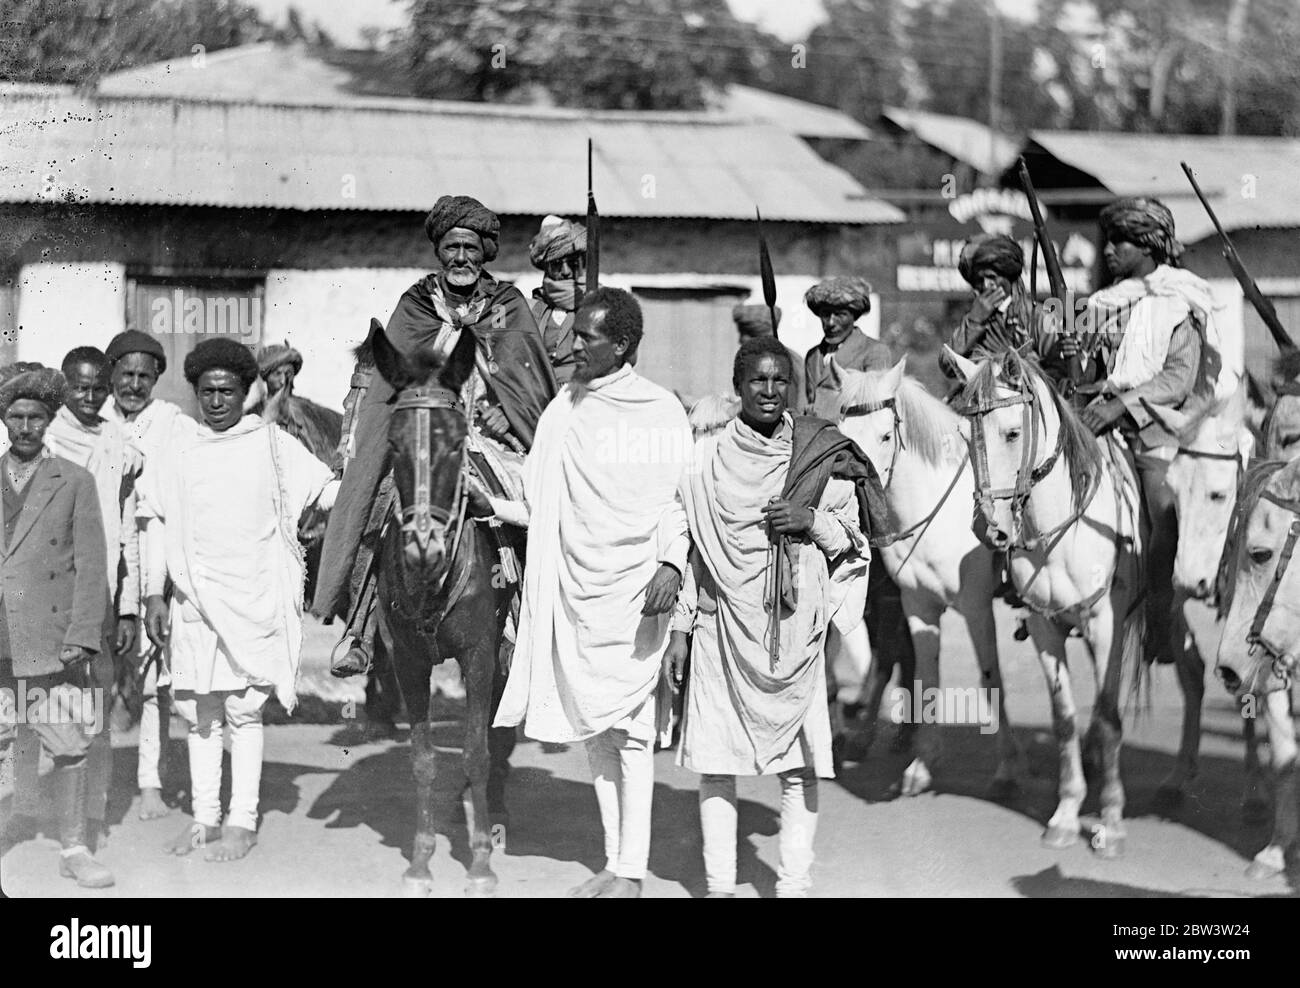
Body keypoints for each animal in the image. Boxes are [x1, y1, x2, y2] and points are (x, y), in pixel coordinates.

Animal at [369, 322, 514, 894]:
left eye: (455, 444)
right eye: (394, 443)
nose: (424, 549)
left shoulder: (479, 653)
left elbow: (476, 750)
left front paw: (480, 864)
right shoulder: (407, 659)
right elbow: (423, 759)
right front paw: (420, 861)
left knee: (496, 731)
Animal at [832, 358, 1024, 800]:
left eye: (886, 435)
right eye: (842, 435)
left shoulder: (976, 605)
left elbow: (991, 675)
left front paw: (1007, 768)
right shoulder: (915, 603)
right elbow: (926, 670)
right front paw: (921, 765)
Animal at [946, 348, 1149, 857]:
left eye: (1012, 433)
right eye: (965, 435)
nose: (989, 529)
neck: (1062, 532)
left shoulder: (1105, 624)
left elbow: (1109, 719)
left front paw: (1110, 820)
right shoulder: (1044, 627)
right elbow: (1065, 720)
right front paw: (1065, 813)